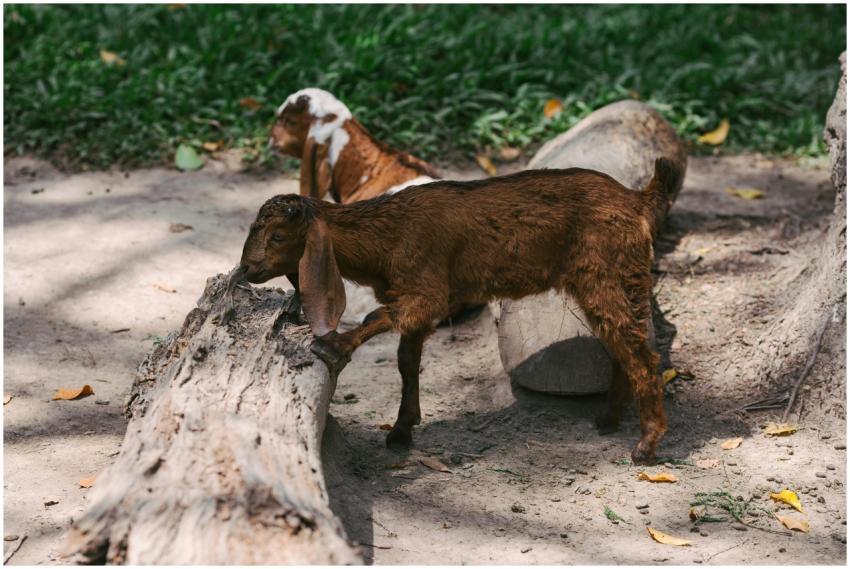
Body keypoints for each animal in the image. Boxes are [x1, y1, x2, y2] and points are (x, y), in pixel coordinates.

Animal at [240, 158, 684, 465]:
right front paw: (401, 431)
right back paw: (609, 419)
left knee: (644, 356)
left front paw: (334, 347)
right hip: (610, 281)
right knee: (624, 346)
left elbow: (375, 319)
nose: (247, 269)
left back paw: (645, 447)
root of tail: (638, 199)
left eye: (277, 236)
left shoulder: (427, 291)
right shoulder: (414, 299)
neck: (389, 235)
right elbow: (406, 361)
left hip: (607, 276)